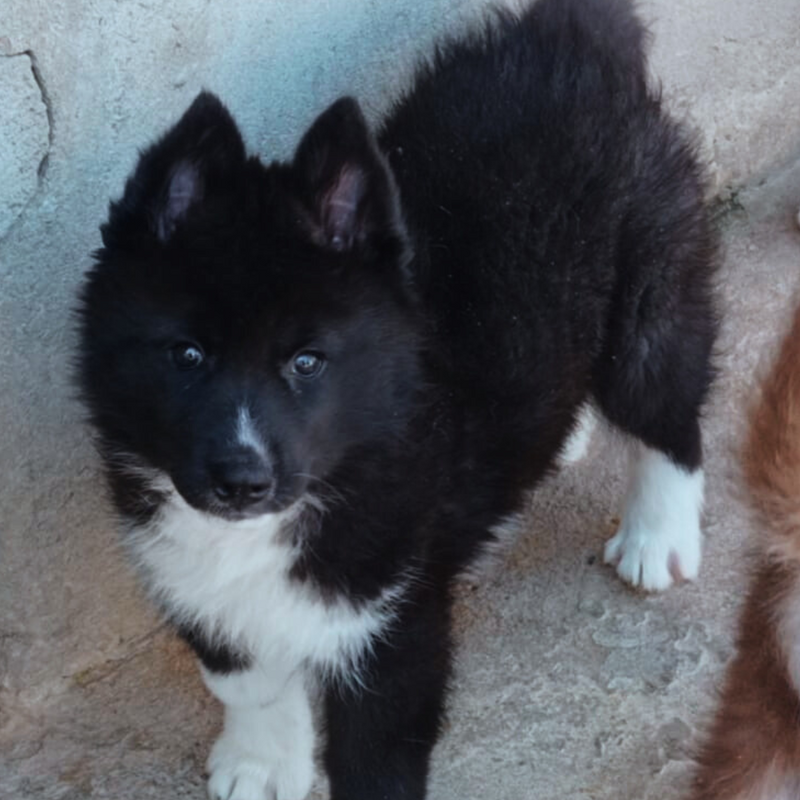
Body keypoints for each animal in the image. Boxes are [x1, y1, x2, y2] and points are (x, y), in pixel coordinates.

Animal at [78, 0, 720, 796]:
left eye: (307, 361)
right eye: (187, 355)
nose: (241, 482)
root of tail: (566, 39)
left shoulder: (396, 620)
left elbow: (377, 753)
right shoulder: (192, 575)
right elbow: (244, 675)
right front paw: (261, 761)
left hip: (651, 278)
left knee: (665, 402)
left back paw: (658, 538)